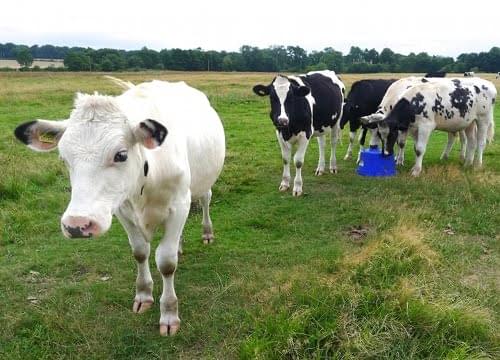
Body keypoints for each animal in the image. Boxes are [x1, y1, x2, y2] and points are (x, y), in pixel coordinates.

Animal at [13, 77, 226, 336]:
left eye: (121, 155)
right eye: (64, 158)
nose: (77, 224)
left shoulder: (179, 204)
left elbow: (166, 262)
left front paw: (169, 314)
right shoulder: (122, 209)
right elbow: (140, 252)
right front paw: (143, 295)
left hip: (203, 183)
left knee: (205, 200)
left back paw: (207, 233)